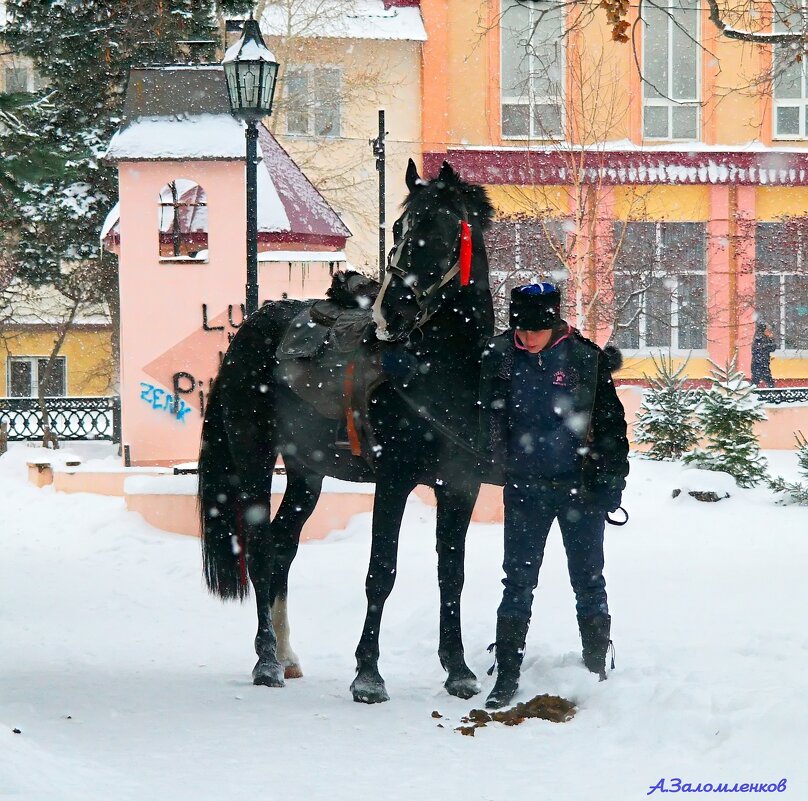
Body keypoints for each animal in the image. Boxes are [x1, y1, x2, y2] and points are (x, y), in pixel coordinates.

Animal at [199, 161, 496, 700]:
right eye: (398, 229)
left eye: (439, 230)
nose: (390, 311)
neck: (437, 375)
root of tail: (250, 328)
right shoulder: (394, 482)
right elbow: (381, 572)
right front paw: (368, 675)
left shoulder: (461, 487)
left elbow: (452, 575)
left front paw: (458, 670)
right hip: (254, 462)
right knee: (260, 550)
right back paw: (267, 661)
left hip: (306, 474)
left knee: (281, 547)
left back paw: (287, 654)